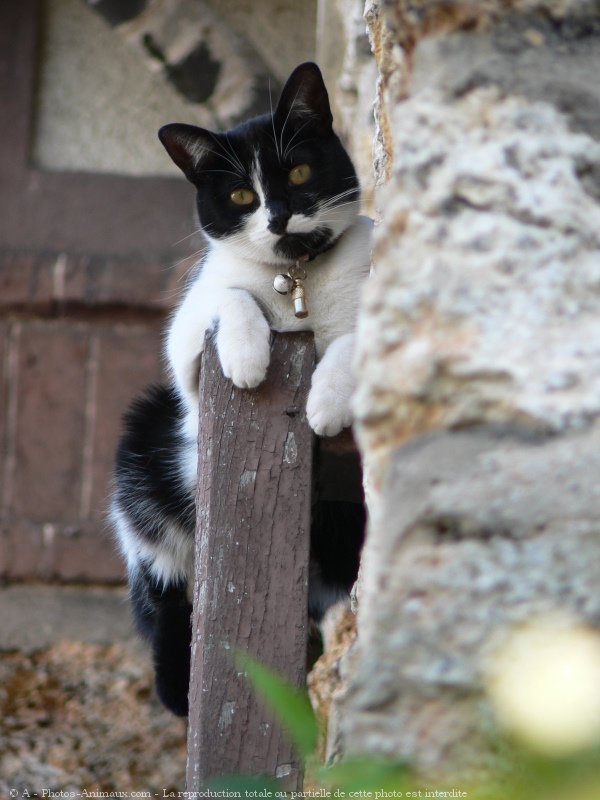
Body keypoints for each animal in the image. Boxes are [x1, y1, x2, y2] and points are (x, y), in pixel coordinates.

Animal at [108, 61, 370, 712]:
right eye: (240, 196)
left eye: (299, 172)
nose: (276, 216)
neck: (295, 276)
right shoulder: (185, 338)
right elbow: (230, 297)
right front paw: (249, 359)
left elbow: (353, 340)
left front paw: (326, 403)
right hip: (148, 438)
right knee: (164, 587)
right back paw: (178, 687)